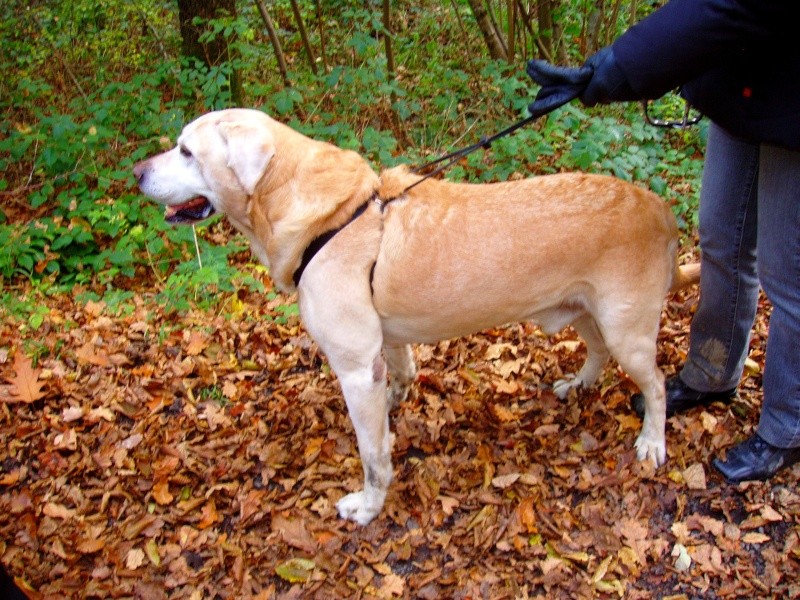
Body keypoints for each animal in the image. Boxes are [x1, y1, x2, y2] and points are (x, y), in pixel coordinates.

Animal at [134, 108, 696, 524]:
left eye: (186, 151)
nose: (136, 173)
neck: (322, 215)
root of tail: (661, 209)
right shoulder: (384, 346)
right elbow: (399, 380)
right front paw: (395, 408)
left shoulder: (354, 368)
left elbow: (372, 454)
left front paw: (367, 506)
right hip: (582, 310)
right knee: (597, 351)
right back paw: (579, 384)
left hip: (627, 328)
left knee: (656, 384)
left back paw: (652, 441)